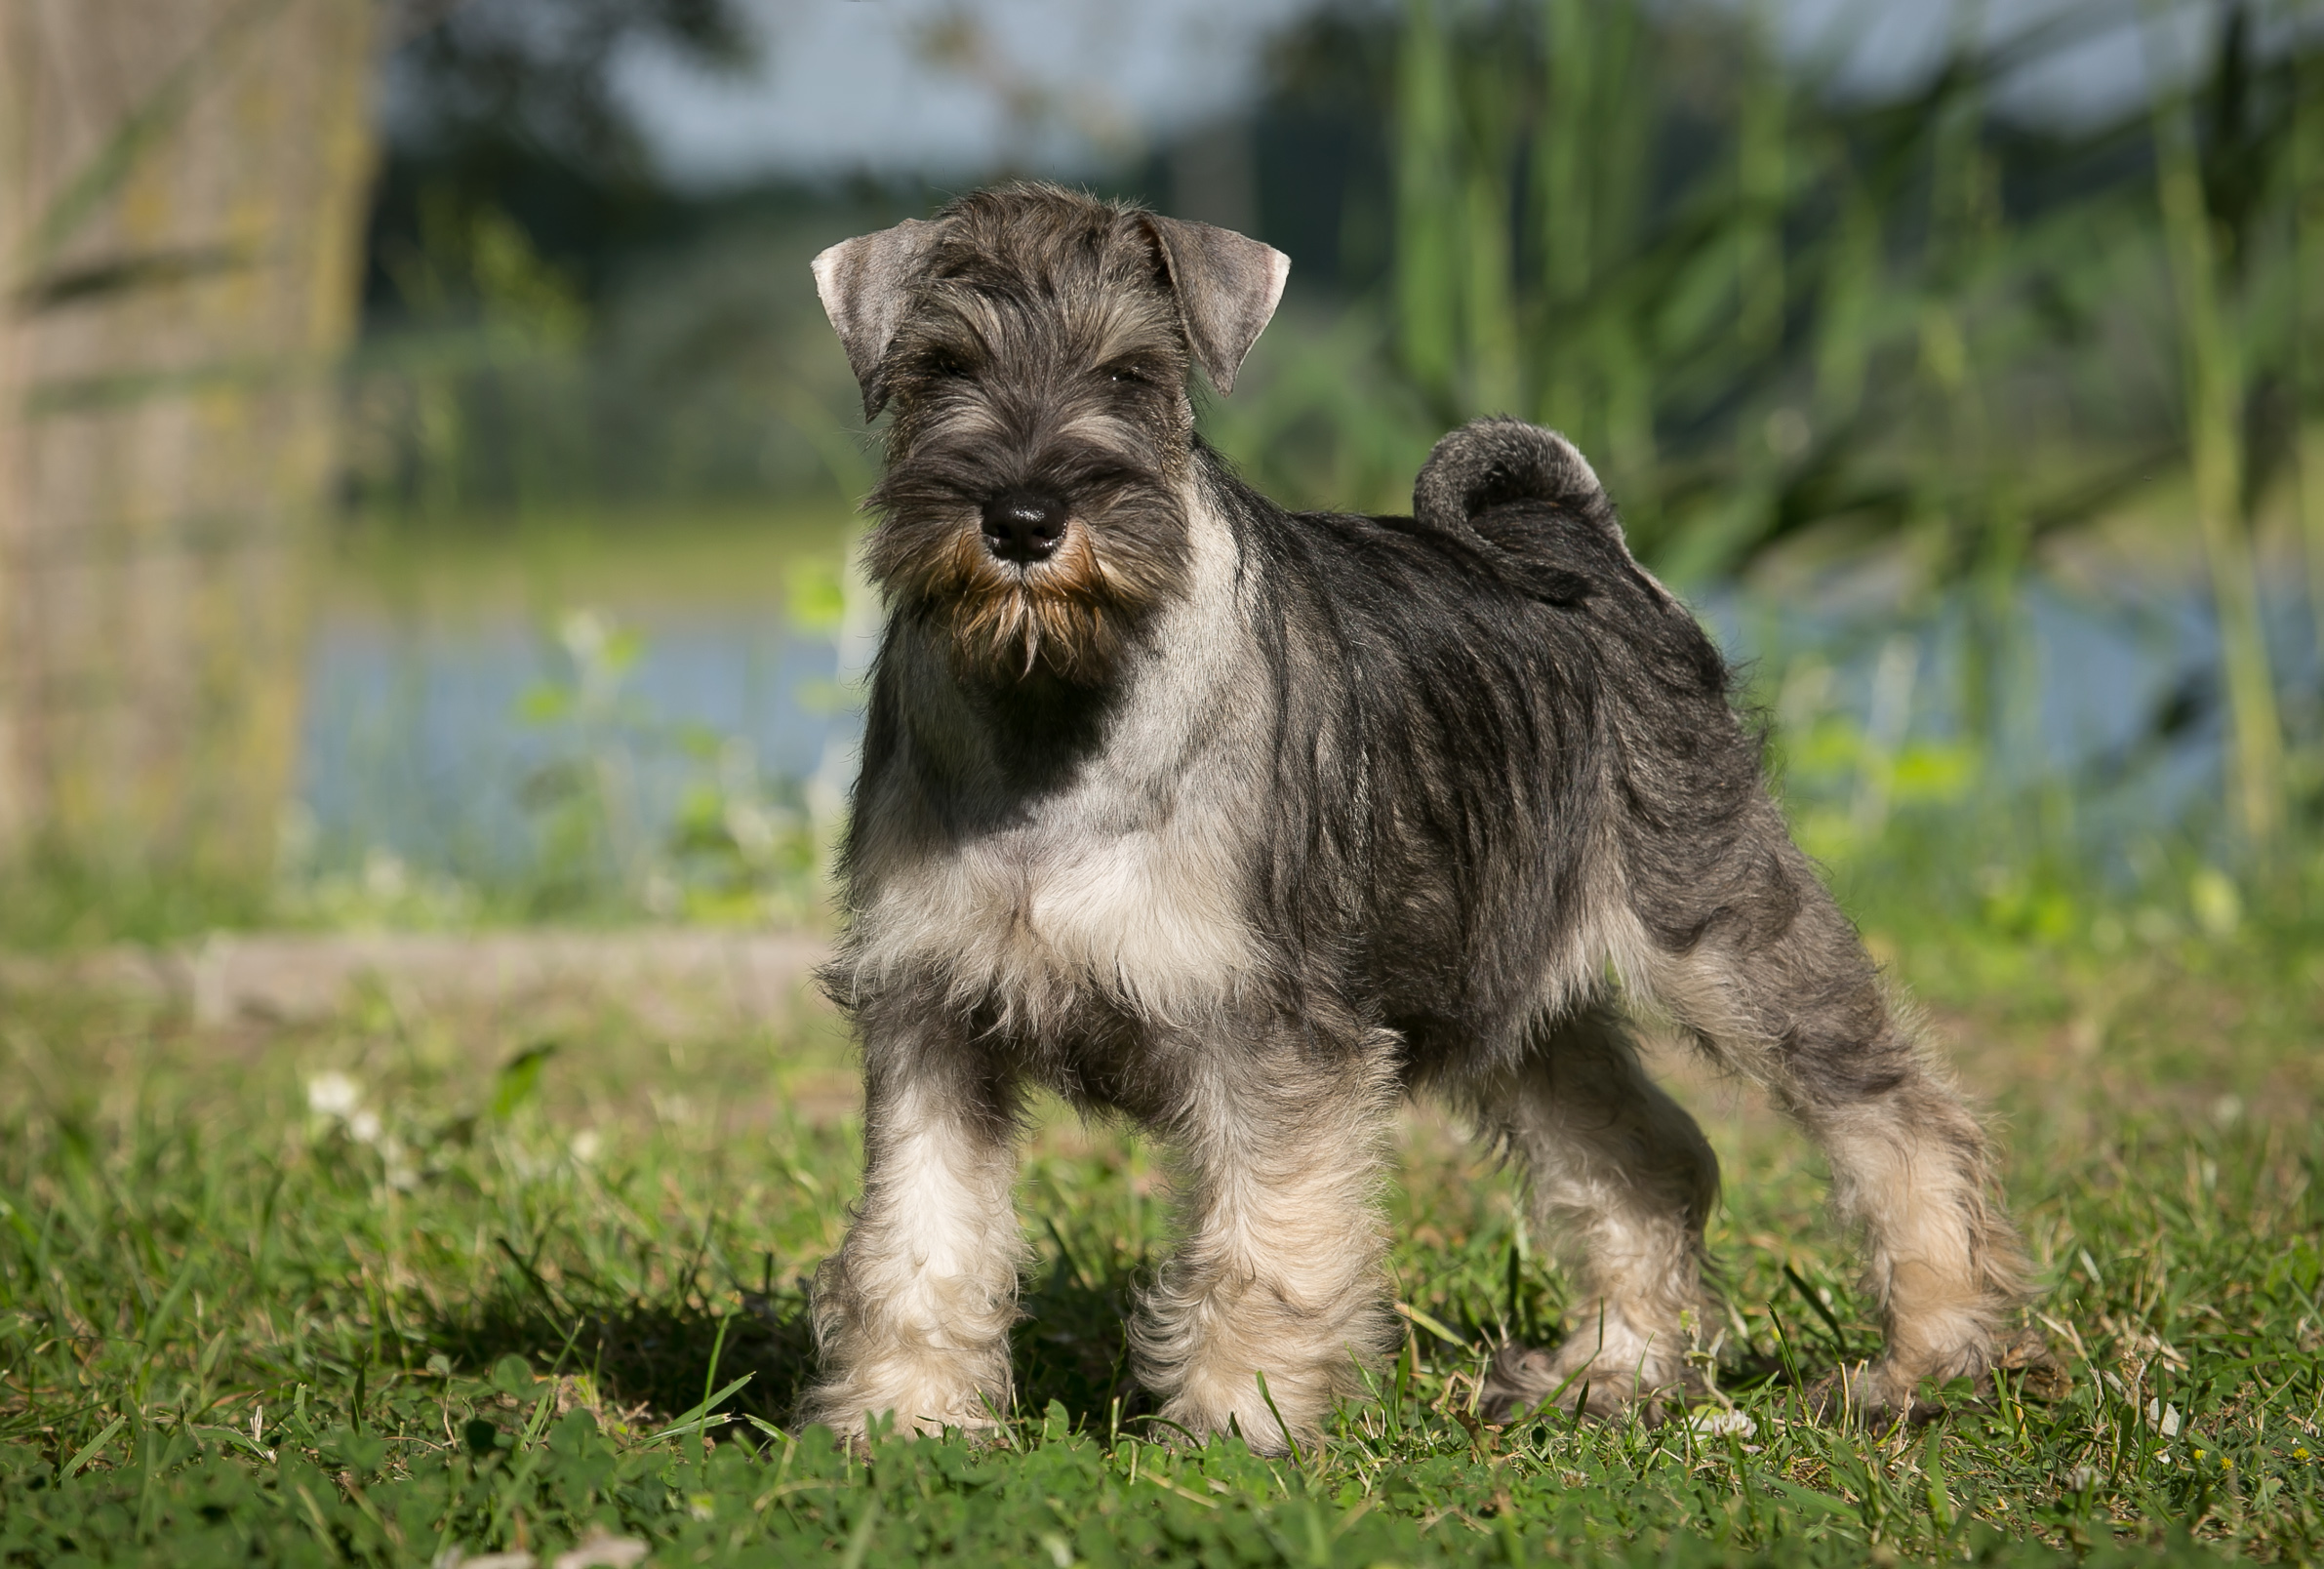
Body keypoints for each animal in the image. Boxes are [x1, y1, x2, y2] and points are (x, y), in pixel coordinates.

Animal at [794, 181, 2017, 1450]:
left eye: (1132, 373)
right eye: (941, 367)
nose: (1024, 520)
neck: (1054, 718)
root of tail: (1582, 541)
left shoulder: (1269, 1033)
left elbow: (1266, 1243)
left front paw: (1239, 1427)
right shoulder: (930, 1017)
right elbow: (918, 1240)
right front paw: (902, 1424)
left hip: (1725, 929)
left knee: (1899, 1117)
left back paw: (1925, 1358)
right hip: (1518, 996)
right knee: (1645, 1161)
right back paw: (1612, 1371)